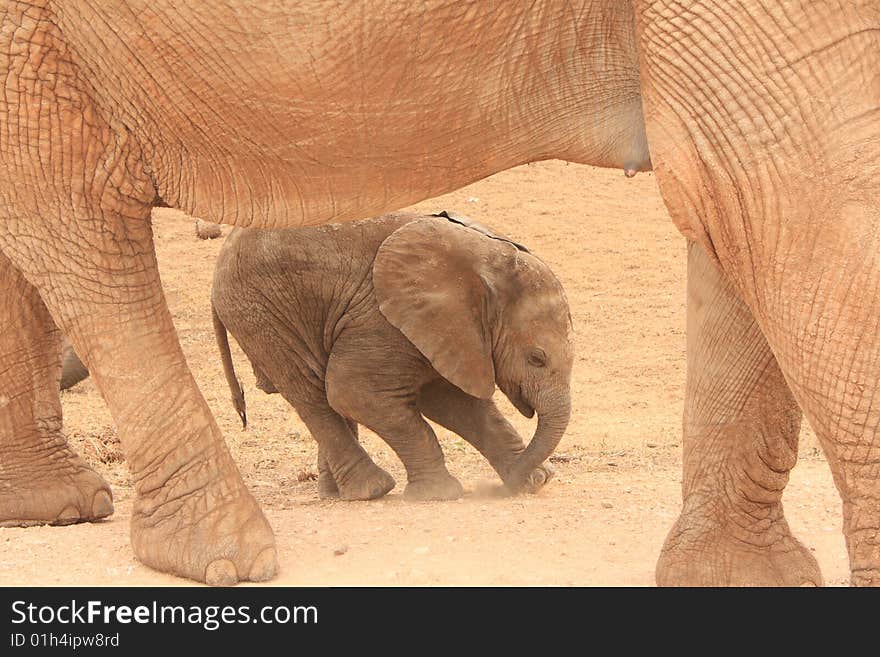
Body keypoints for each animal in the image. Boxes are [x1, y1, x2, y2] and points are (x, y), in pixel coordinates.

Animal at [210, 213, 576, 500]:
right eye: (537, 358)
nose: (498, 490)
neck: (486, 264)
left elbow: (451, 402)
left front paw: (535, 482)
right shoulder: (381, 320)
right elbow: (356, 394)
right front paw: (440, 495)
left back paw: (336, 493)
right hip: (261, 313)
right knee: (313, 394)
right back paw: (372, 490)